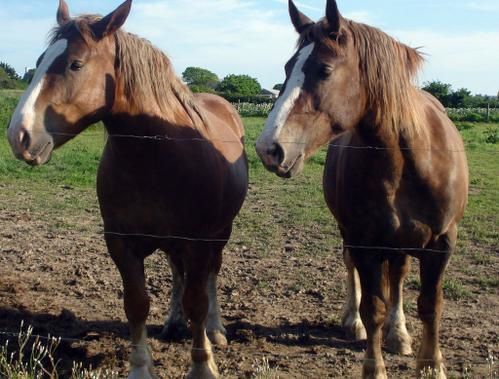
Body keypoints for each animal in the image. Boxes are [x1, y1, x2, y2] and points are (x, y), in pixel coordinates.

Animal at [6, 1, 249, 378]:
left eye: (76, 64)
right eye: (41, 60)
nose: (19, 136)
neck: (157, 154)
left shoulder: (197, 242)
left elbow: (197, 301)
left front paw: (203, 365)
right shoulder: (121, 243)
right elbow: (137, 304)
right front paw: (140, 368)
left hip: (220, 233)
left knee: (210, 276)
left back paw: (215, 329)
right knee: (177, 275)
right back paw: (173, 323)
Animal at [258, 1, 468, 378]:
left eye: (324, 69)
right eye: (286, 68)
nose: (268, 149)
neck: (409, 161)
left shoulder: (442, 243)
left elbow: (430, 305)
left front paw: (431, 366)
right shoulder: (363, 241)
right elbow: (373, 308)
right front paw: (374, 364)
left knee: (397, 277)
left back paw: (399, 334)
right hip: (351, 235)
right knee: (352, 270)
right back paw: (353, 321)